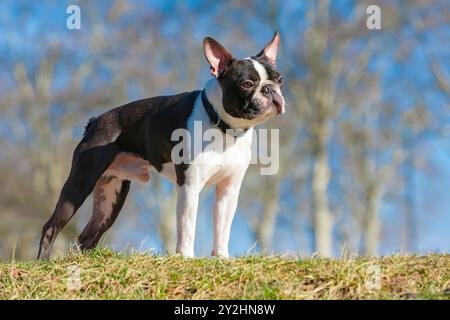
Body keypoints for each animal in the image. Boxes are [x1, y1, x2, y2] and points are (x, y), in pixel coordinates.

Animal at [37, 31, 284, 258]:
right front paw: (186, 257)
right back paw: (43, 263)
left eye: (280, 80)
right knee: (51, 226)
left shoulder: (229, 189)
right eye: (247, 84)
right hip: (81, 182)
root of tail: (95, 121)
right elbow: (187, 225)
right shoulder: (189, 185)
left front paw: (222, 258)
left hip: (111, 194)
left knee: (88, 236)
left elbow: (223, 228)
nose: (270, 89)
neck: (224, 127)